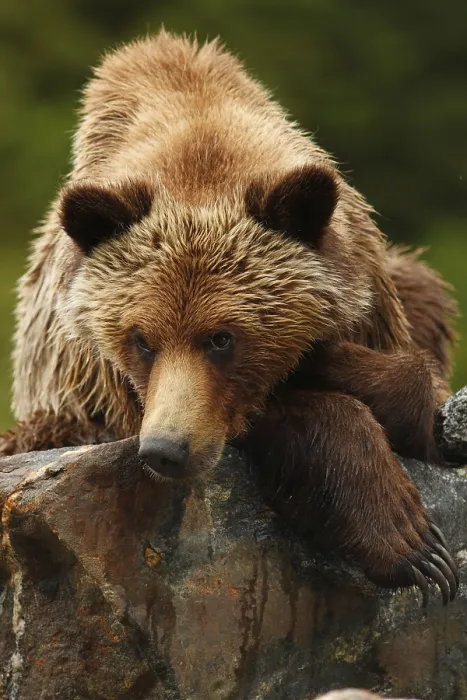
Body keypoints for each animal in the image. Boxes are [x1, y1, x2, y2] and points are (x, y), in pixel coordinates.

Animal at [1, 30, 458, 603]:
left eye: (222, 338)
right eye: (141, 340)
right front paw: (411, 543)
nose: (165, 450)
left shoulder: (374, 298)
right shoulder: (103, 390)